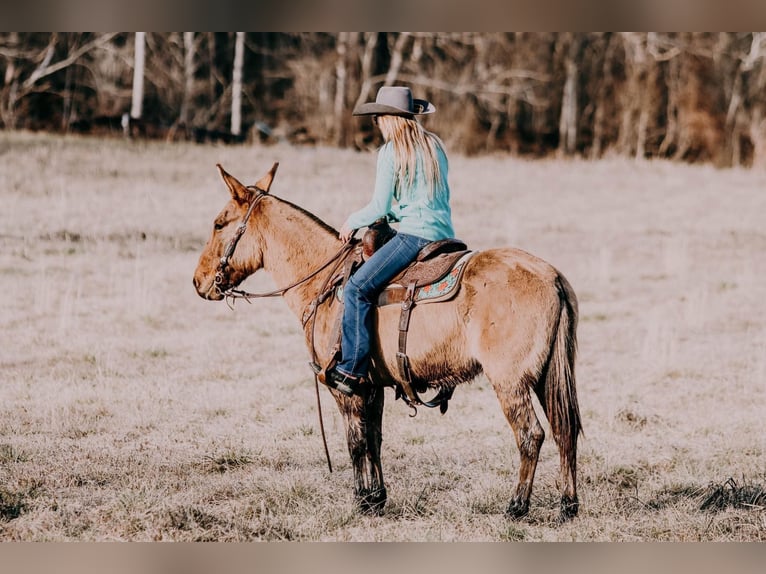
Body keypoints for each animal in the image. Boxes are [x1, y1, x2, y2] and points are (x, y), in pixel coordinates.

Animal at [192, 162, 584, 520]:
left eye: (218, 223)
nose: (198, 281)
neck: (323, 279)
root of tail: (551, 275)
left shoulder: (344, 387)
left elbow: (355, 442)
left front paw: (360, 501)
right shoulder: (372, 385)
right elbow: (375, 439)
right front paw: (376, 498)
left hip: (510, 382)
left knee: (531, 435)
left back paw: (516, 507)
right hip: (547, 377)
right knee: (565, 432)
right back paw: (567, 506)